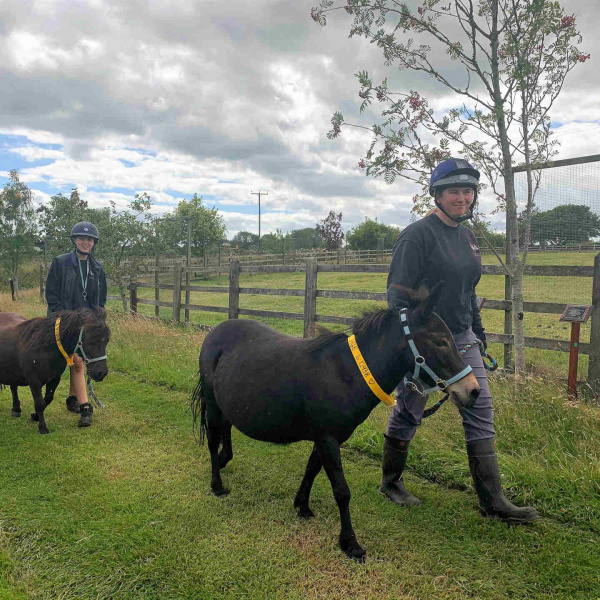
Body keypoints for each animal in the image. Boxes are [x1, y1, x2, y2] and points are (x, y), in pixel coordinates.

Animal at [190, 284, 480, 560]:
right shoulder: (328, 439)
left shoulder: (326, 438)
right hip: (212, 404)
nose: (473, 391)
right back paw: (217, 484)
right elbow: (341, 491)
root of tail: (216, 332)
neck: (346, 373)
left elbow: (311, 470)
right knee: (213, 438)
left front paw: (302, 506)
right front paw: (350, 543)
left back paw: (225, 459)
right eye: (441, 342)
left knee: (226, 429)